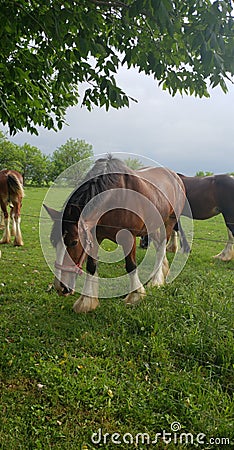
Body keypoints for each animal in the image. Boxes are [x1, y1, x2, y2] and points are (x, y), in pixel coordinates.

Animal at [44, 155, 186, 312]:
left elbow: (131, 266)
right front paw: (86, 302)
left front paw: (135, 296)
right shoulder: (94, 236)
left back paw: (156, 280)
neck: (115, 196)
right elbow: (91, 266)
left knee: (161, 248)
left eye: (74, 242)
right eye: (53, 242)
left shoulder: (128, 238)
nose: (60, 287)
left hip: (169, 221)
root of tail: (175, 176)